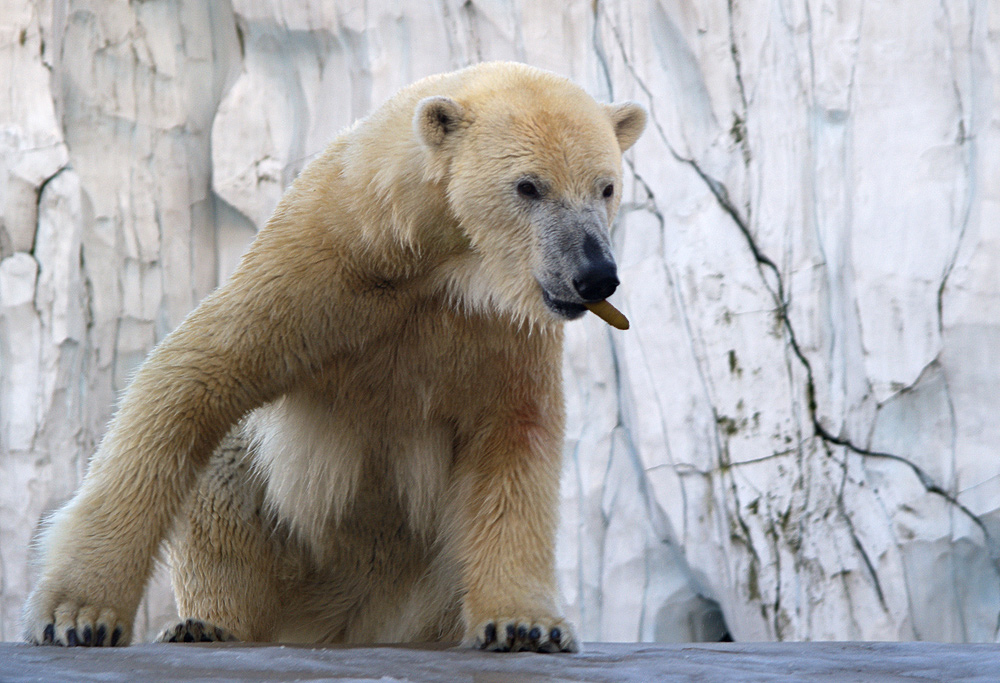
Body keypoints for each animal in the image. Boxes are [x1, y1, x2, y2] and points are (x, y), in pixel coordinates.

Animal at [25, 62, 648, 652]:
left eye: (605, 187)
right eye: (528, 186)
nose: (595, 275)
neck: (434, 260)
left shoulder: (502, 331)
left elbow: (513, 444)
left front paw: (525, 626)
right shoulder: (321, 266)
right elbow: (191, 380)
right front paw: (77, 615)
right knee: (226, 489)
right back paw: (204, 624)